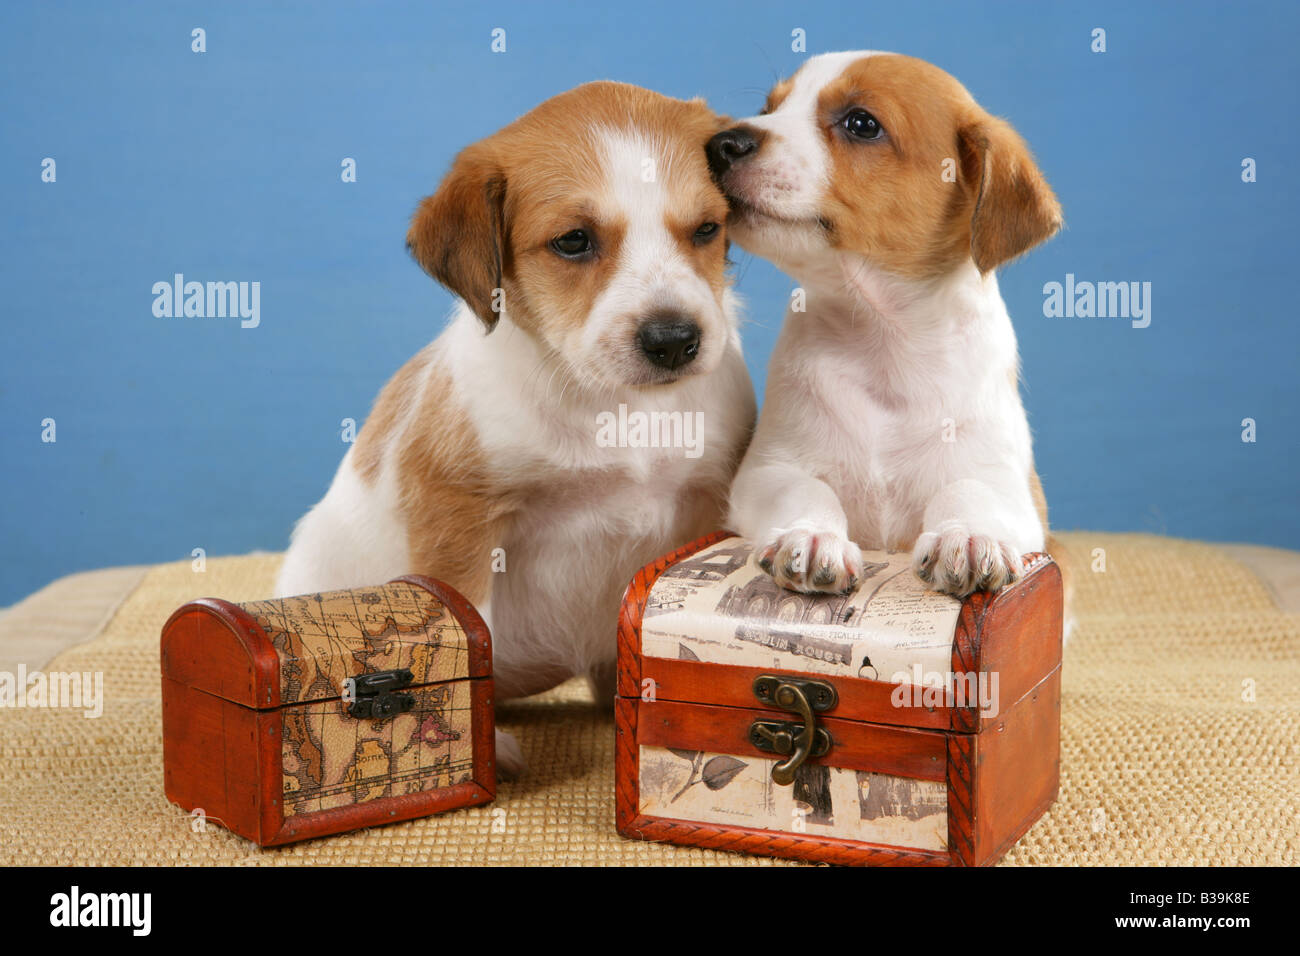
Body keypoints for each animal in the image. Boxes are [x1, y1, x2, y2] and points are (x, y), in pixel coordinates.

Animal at [279, 78, 759, 775]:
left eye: (705, 229)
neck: (615, 407)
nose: (674, 340)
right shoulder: (461, 519)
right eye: (573, 241)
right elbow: (465, 631)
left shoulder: (705, 501)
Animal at [712, 50, 1066, 606]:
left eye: (862, 124)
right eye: (769, 108)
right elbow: (807, 489)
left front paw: (967, 535)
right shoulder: (767, 470)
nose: (720, 143)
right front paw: (812, 536)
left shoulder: (1012, 489)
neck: (882, 341)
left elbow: (966, 490)